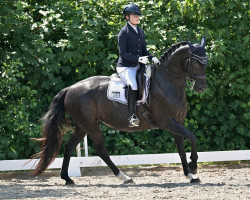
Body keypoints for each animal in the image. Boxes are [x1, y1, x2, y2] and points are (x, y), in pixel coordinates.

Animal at [33, 36, 209, 185]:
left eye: (206, 62)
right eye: (195, 63)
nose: (201, 88)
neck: (167, 81)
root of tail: (70, 88)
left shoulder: (178, 122)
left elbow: (181, 149)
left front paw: (190, 175)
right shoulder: (166, 122)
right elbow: (192, 137)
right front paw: (193, 166)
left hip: (82, 126)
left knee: (69, 147)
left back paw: (67, 178)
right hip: (91, 125)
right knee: (101, 150)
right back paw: (124, 177)